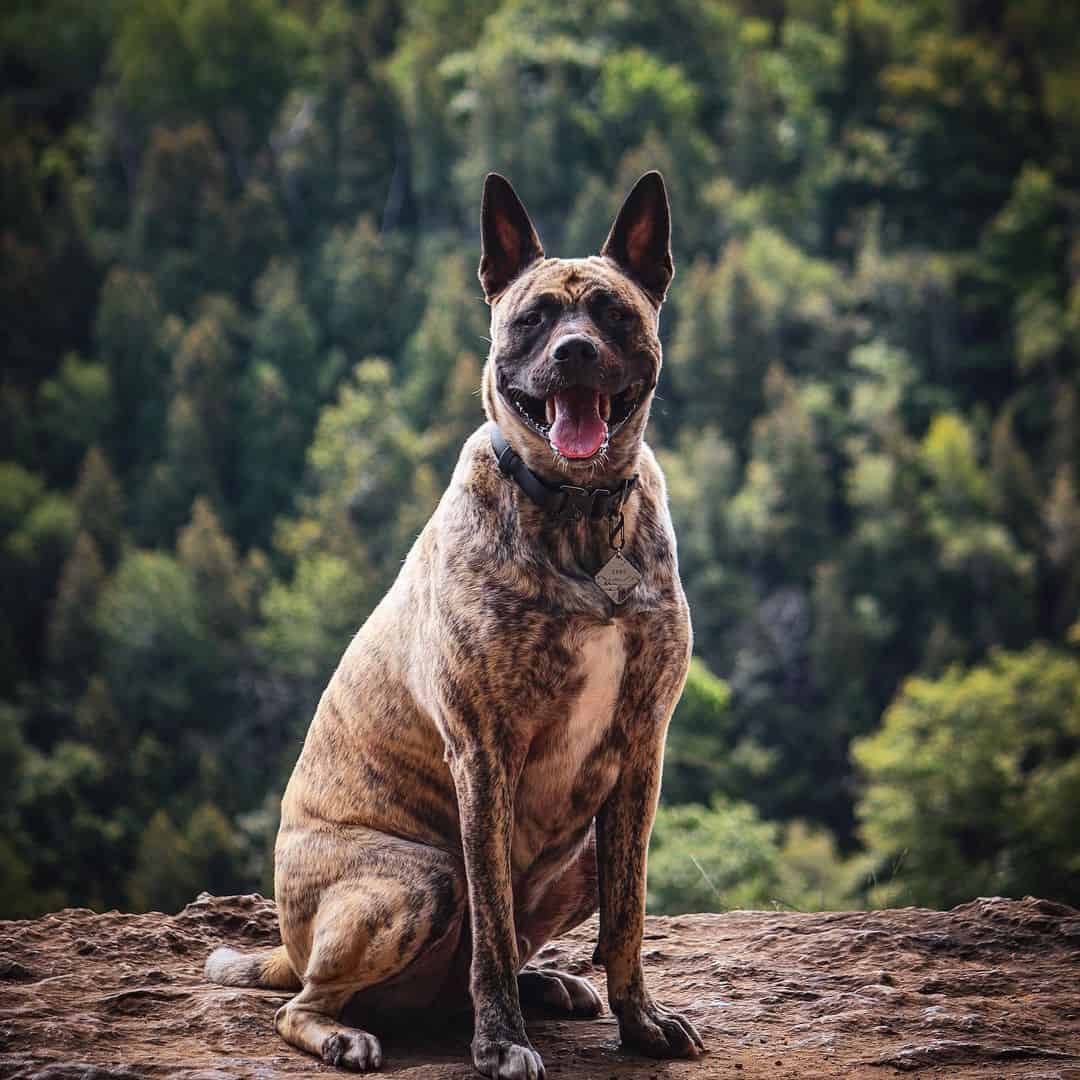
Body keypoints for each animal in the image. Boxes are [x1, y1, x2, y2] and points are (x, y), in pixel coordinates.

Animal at [206, 172, 704, 1075]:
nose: (574, 352)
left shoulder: (641, 753)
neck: (578, 515)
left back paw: (547, 986)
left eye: (612, 313)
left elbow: (628, 917)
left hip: (576, 851)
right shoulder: (483, 754)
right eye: (532, 318)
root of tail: (289, 946)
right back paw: (346, 1033)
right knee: (304, 1004)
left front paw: (641, 1021)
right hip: (417, 880)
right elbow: (493, 928)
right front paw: (501, 1042)